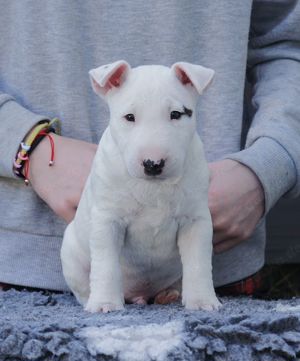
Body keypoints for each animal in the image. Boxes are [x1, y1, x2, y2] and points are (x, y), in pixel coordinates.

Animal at [60, 60, 220, 310]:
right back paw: (93, 300)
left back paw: (168, 294)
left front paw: (202, 301)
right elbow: (106, 265)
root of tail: (139, 294)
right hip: (71, 254)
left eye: (176, 114)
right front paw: (105, 303)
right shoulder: (108, 220)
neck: (153, 187)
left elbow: (198, 264)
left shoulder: (196, 221)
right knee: (83, 287)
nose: (153, 163)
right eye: (129, 117)